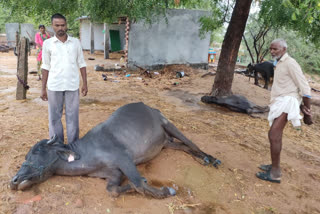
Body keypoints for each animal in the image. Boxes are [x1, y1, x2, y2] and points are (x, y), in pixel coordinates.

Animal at [9, 102, 220, 199]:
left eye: (36, 152)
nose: (14, 180)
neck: (87, 155)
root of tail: (150, 107)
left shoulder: (124, 160)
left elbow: (139, 183)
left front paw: (166, 190)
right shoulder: (113, 175)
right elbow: (114, 190)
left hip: (168, 124)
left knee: (191, 143)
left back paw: (211, 159)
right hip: (165, 143)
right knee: (183, 146)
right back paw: (202, 159)